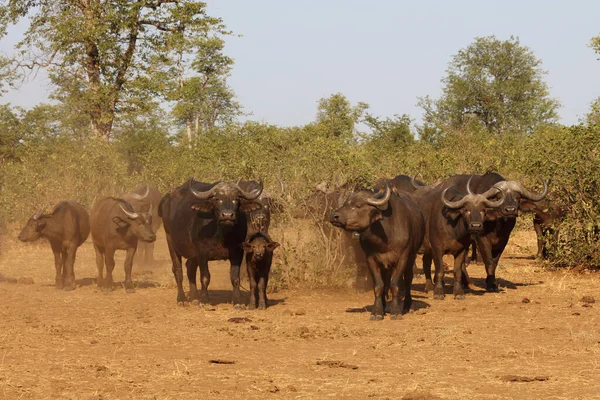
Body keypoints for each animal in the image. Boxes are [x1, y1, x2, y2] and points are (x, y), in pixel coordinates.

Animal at [158, 178, 264, 306]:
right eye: (217, 199)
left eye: (236, 199)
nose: (227, 215)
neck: (222, 235)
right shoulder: (202, 253)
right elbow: (205, 277)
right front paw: (205, 300)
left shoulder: (237, 253)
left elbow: (235, 278)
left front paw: (238, 301)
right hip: (170, 241)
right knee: (178, 270)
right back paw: (182, 299)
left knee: (190, 268)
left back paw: (194, 297)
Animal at [328, 184, 426, 318]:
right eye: (345, 203)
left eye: (358, 205)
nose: (334, 216)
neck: (385, 236)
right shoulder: (371, 259)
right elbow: (379, 286)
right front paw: (377, 312)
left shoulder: (402, 258)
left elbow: (395, 285)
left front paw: (396, 311)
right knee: (385, 281)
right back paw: (384, 306)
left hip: (411, 257)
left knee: (408, 279)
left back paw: (407, 306)